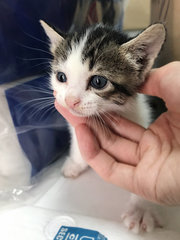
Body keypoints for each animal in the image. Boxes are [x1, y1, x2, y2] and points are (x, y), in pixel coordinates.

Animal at [40, 21, 166, 233]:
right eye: (61, 77)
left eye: (98, 82)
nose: (70, 100)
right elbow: (78, 140)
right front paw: (76, 164)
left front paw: (141, 208)